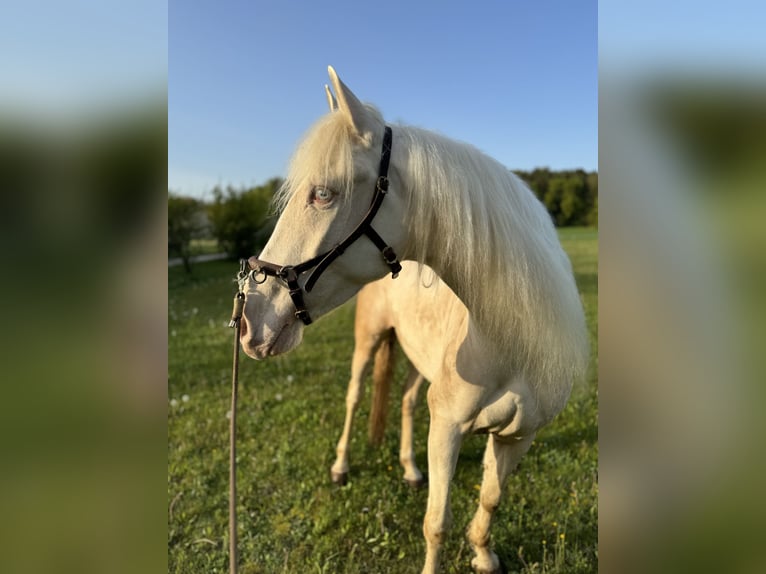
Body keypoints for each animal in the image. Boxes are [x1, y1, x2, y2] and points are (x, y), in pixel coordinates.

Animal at [243, 66, 592, 574]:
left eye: (323, 194)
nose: (249, 319)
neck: (507, 342)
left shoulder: (518, 437)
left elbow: (490, 499)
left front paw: (483, 554)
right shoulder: (448, 429)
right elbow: (437, 523)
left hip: (414, 359)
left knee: (406, 401)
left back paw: (409, 469)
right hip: (368, 343)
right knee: (353, 397)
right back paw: (341, 466)